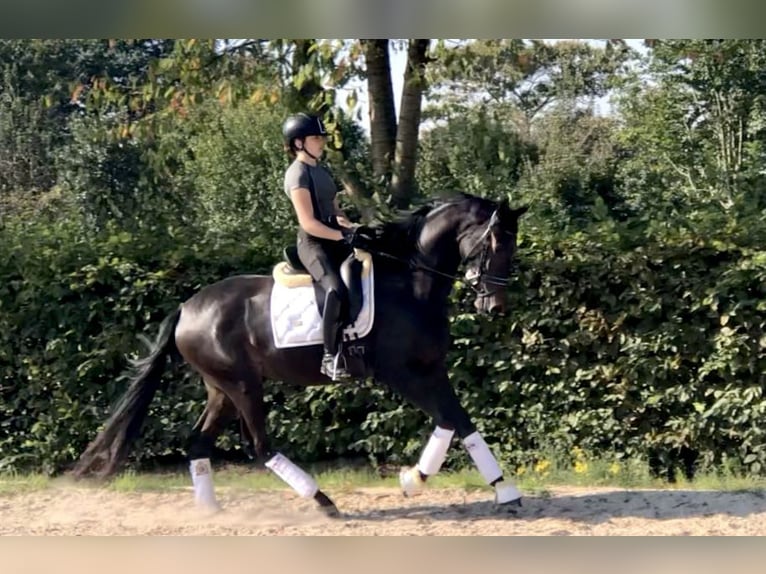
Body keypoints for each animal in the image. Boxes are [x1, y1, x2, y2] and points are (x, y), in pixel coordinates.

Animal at [73, 192, 528, 516]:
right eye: (494, 242)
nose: (495, 306)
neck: (411, 284)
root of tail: (187, 307)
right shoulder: (399, 373)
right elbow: (448, 420)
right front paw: (411, 480)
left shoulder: (431, 369)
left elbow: (461, 422)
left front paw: (505, 491)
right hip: (242, 385)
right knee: (257, 446)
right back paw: (323, 502)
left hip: (221, 388)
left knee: (199, 443)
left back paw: (211, 512)